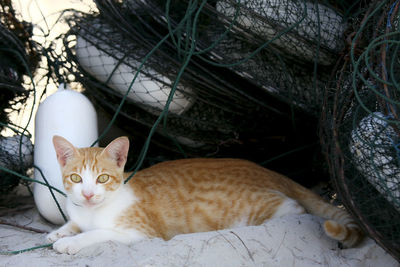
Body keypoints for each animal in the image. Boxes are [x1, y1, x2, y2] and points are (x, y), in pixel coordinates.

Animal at [46, 136, 362, 255]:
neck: (91, 210)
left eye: (102, 178)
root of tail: (270, 172)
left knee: (296, 209)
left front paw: (70, 242)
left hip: (256, 207)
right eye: (76, 178)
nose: (88, 194)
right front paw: (60, 232)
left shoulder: (142, 233)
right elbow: (75, 223)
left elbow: (99, 233)